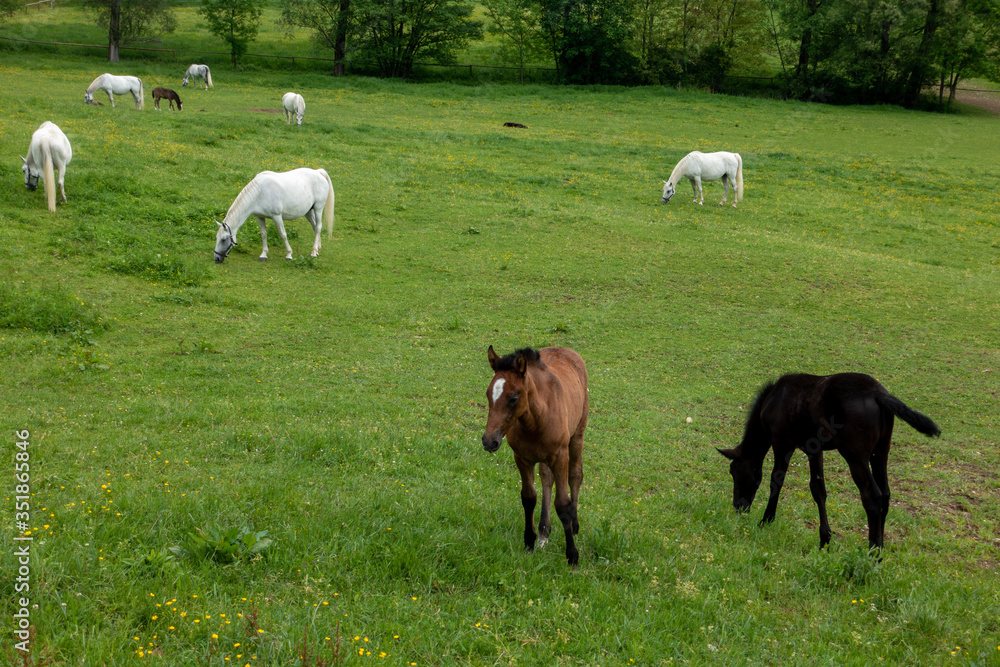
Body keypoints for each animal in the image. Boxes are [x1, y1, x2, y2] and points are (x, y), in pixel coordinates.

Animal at [482, 346, 589, 568]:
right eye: (488, 394)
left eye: (514, 398)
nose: (489, 441)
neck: (536, 420)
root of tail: (566, 350)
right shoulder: (522, 458)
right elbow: (529, 497)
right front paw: (529, 542)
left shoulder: (560, 456)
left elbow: (563, 504)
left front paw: (572, 556)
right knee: (547, 478)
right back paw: (543, 532)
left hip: (577, 436)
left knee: (576, 475)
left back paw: (574, 526)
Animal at [717, 373, 941, 552]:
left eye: (734, 472)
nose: (739, 507)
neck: (774, 399)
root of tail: (878, 394)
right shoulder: (813, 450)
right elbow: (818, 489)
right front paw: (824, 539)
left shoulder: (782, 442)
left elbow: (776, 481)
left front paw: (766, 519)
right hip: (880, 452)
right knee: (885, 494)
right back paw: (881, 547)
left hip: (855, 456)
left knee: (873, 496)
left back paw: (873, 554)